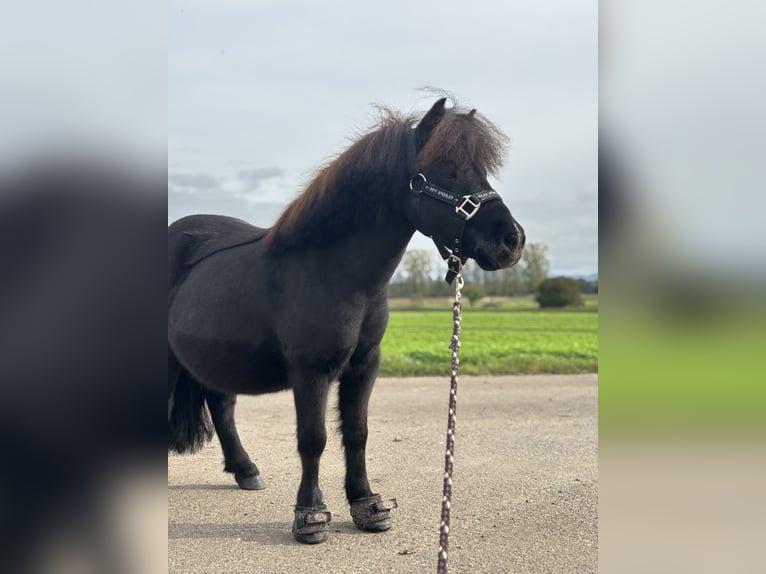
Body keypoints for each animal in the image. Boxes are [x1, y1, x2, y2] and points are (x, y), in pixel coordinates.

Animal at [167, 97, 526, 544]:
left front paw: (367, 504)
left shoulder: (364, 363)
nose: (511, 241)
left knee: (222, 406)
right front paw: (310, 515)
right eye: (448, 170)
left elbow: (357, 433)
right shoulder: (312, 369)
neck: (334, 271)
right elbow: (313, 439)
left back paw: (246, 470)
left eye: (481, 170)